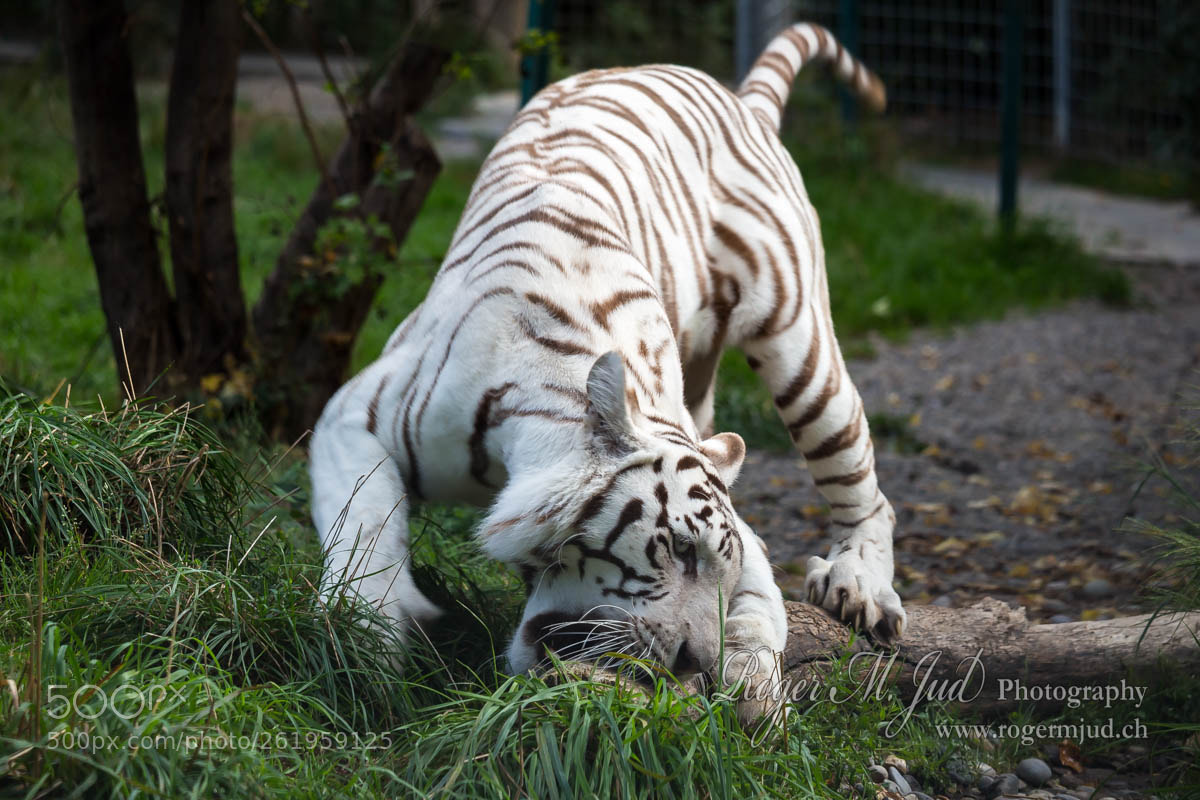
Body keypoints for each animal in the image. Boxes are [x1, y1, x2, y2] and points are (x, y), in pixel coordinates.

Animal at [310, 21, 905, 718]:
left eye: (716, 566)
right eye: (679, 549)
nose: (693, 662)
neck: (516, 448)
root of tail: (742, 100)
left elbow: (760, 595)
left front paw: (754, 684)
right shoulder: (354, 412)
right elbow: (363, 520)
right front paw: (369, 639)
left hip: (798, 340)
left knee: (863, 484)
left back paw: (858, 585)